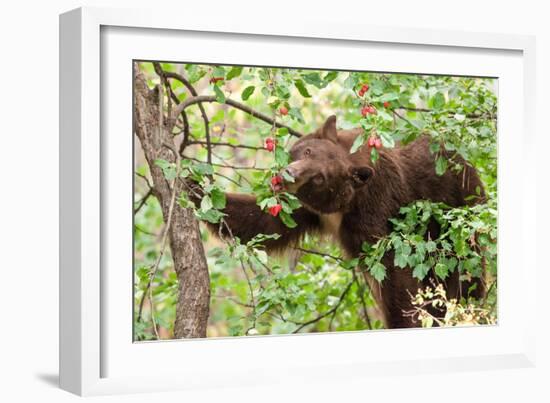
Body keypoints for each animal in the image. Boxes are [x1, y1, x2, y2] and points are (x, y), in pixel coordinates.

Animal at [202, 115, 488, 330]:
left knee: (463, 276)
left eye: (320, 177)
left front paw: (403, 320)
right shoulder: (307, 209)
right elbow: (266, 223)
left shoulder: (375, 207)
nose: (289, 174)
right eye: (307, 151)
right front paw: (197, 187)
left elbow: (393, 268)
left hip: (457, 216)